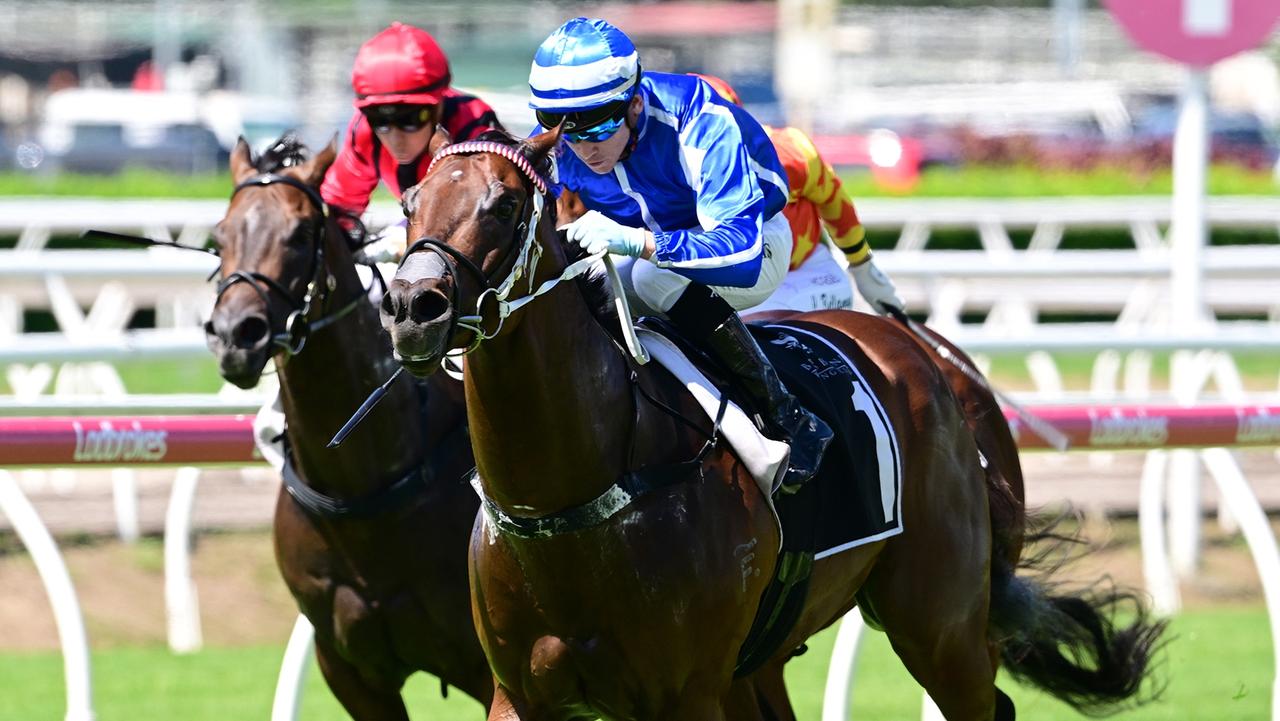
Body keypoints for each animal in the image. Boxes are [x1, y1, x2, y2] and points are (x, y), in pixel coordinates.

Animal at [373, 131, 1167, 721]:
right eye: (409, 201)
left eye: (505, 204)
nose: (414, 307)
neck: (573, 499)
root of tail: (922, 350)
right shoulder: (521, 693)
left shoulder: (684, 693)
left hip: (936, 618)